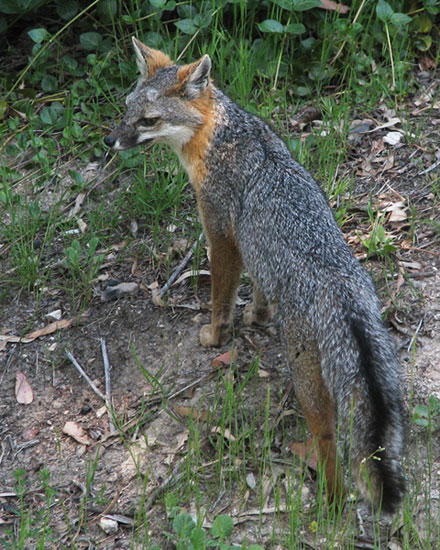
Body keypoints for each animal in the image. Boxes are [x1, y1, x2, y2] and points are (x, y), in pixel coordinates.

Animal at [104, 37, 406, 512]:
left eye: (148, 120)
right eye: (126, 109)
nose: (110, 139)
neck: (221, 133)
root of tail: (339, 283)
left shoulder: (221, 232)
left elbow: (220, 295)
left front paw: (216, 335)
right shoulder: (255, 246)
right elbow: (260, 287)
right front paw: (259, 316)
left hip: (308, 383)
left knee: (329, 440)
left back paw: (332, 502)